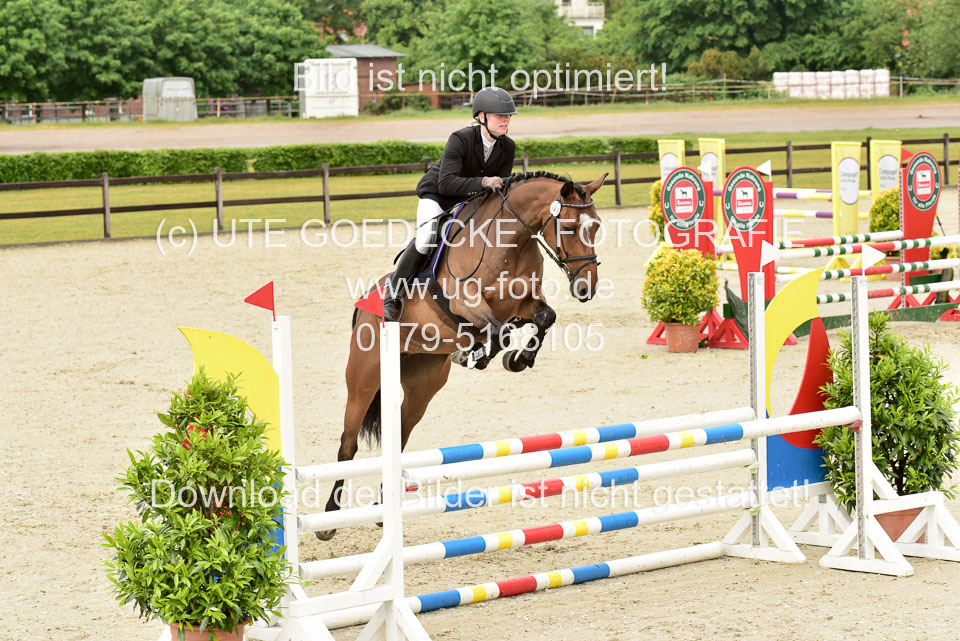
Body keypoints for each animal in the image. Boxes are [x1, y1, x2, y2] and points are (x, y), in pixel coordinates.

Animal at [317, 171, 607, 540]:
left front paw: (515, 359)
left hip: (420, 390)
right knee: (348, 444)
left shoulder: (524, 303)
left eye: (596, 226)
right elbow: (500, 331)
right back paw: (328, 520)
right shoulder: (465, 303)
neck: (511, 242)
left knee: (398, 439)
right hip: (364, 379)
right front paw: (480, 354)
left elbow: (542, 318)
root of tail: (365, 303)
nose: (587, 288)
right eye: (568, 227)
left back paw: (383, 510)